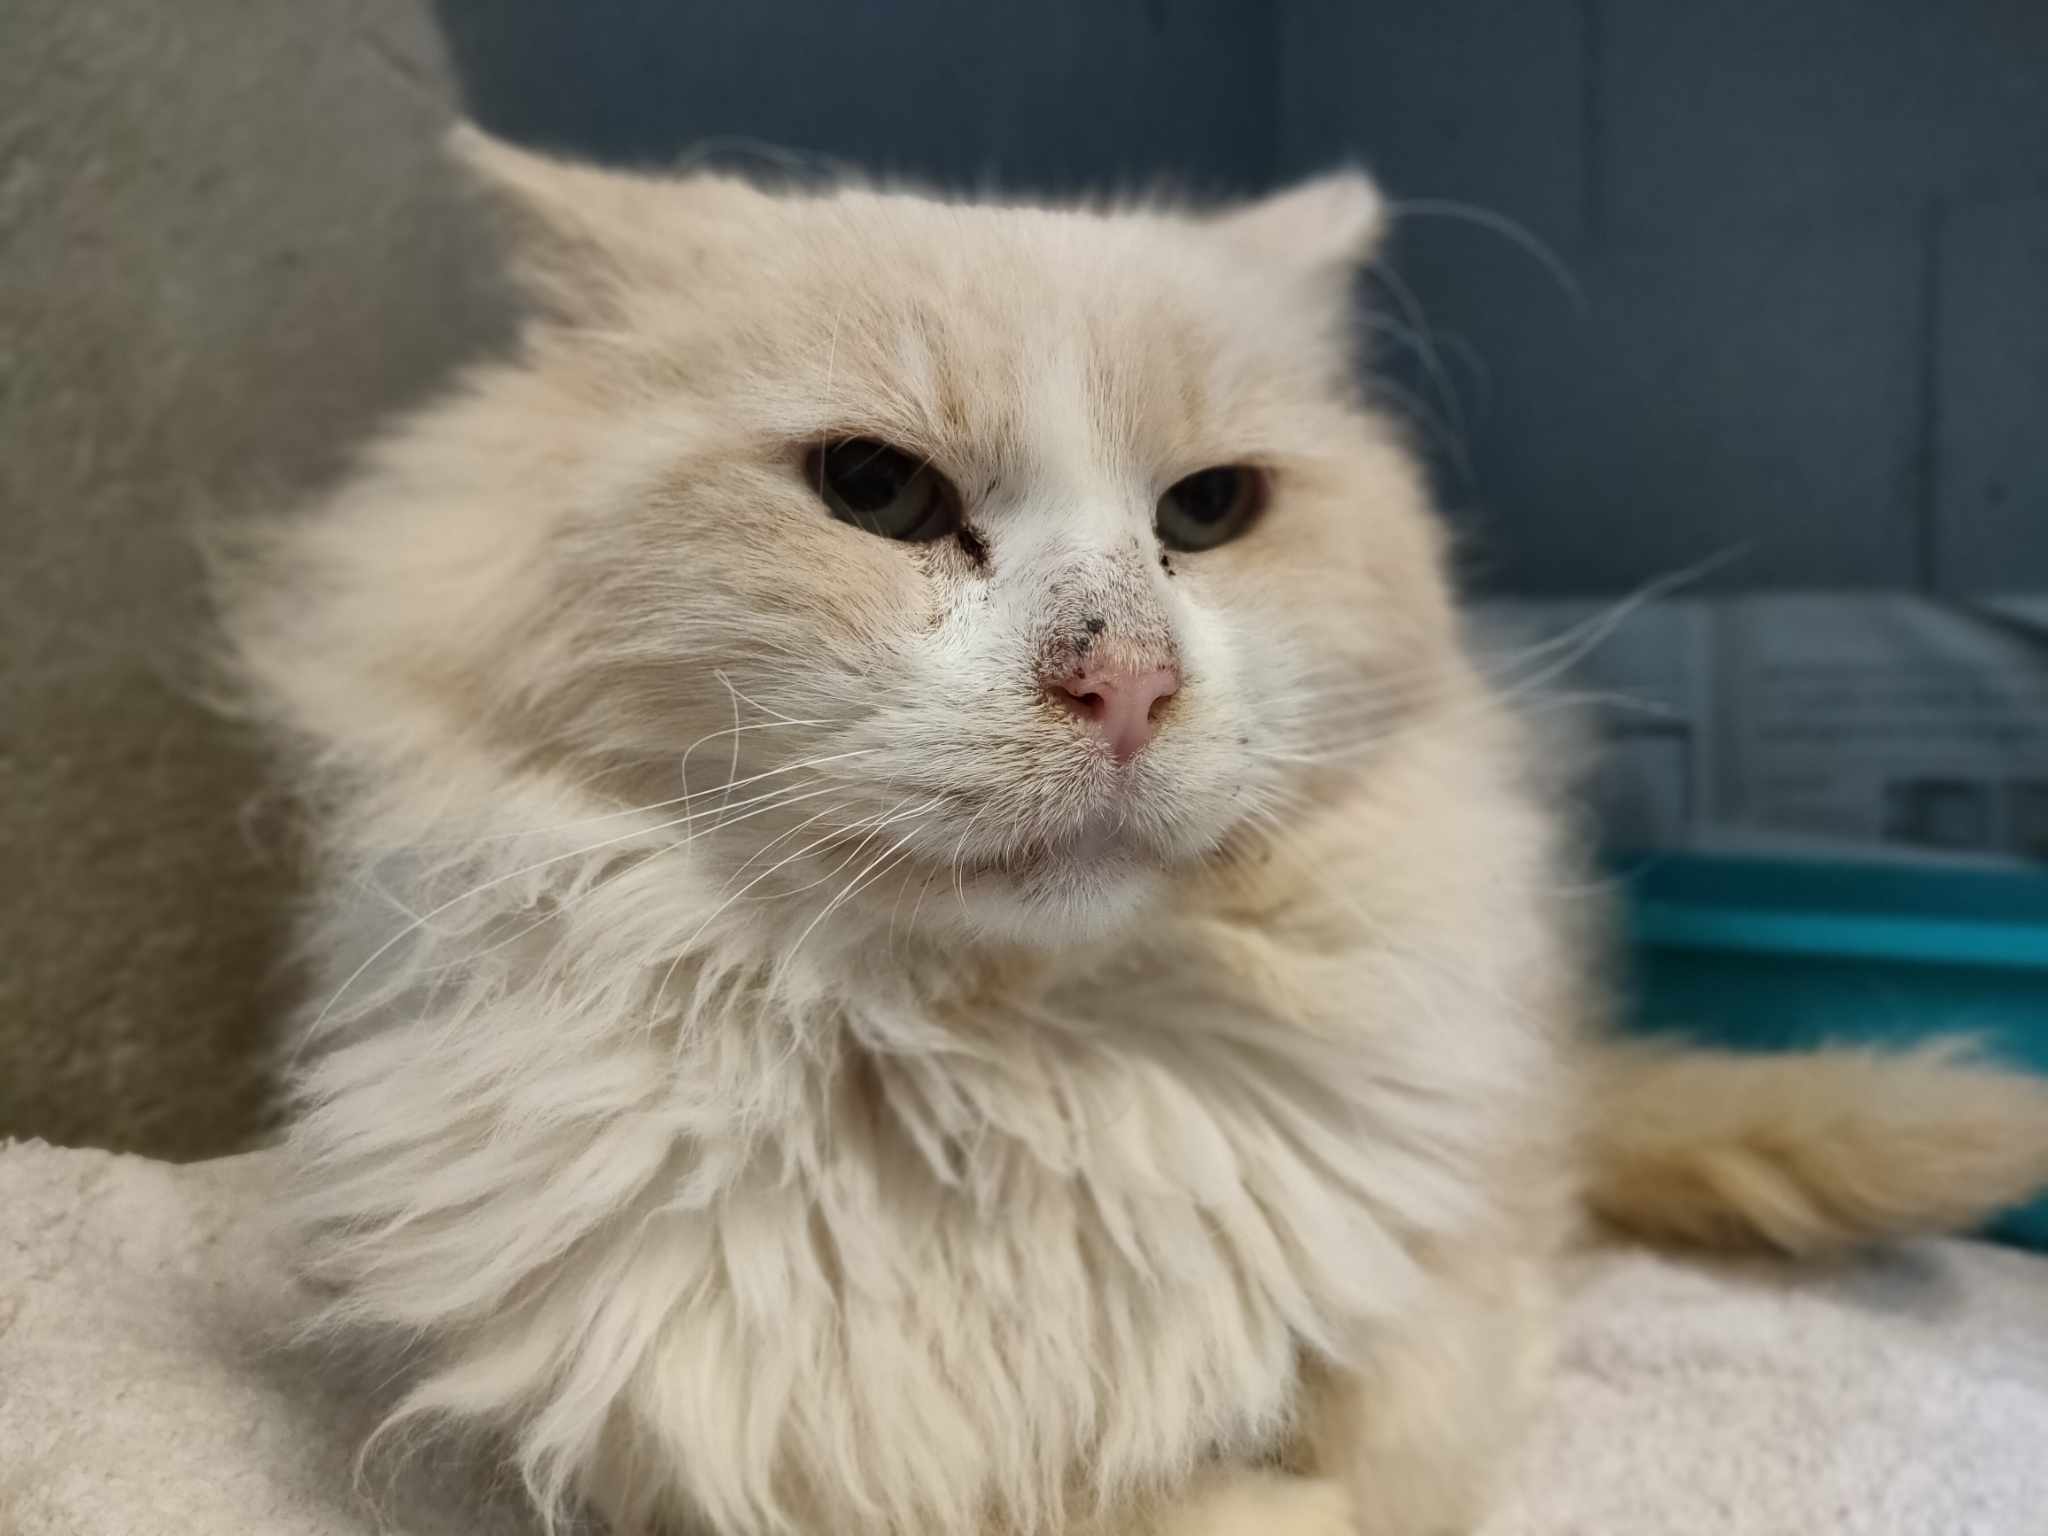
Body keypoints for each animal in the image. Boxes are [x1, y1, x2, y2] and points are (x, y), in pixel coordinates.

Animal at [220, 124, 2048, 1536]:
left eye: (1209, 512)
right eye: (875, 492)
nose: (1126, 684)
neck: (1013, 1080)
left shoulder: (1449, 1287)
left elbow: (1381, 1466)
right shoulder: (709, 1454)